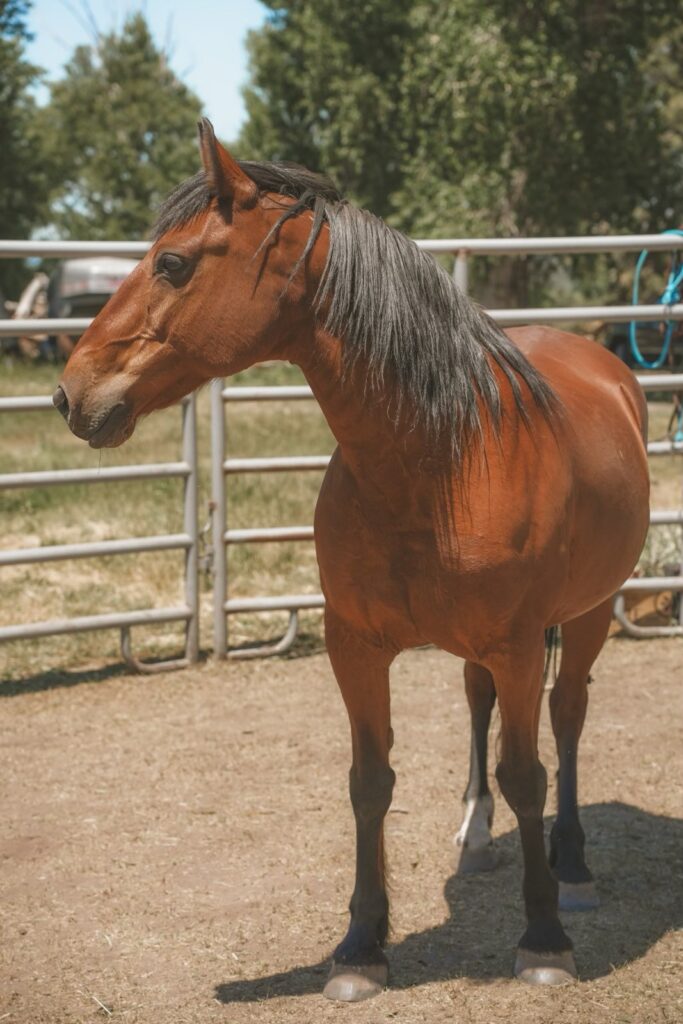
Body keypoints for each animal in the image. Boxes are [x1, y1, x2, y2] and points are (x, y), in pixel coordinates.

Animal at [56, 117, 651, 999]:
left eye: (172, 263)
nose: (70, 392)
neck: (438, 462)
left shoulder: (517, 645)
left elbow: (526, 775)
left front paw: (542, 939)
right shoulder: (355, 646)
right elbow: (369, 784)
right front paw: (359, 947)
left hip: (584, 616)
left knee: (567, 715)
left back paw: (571, 868)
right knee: (477, 705)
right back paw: (475, 836)